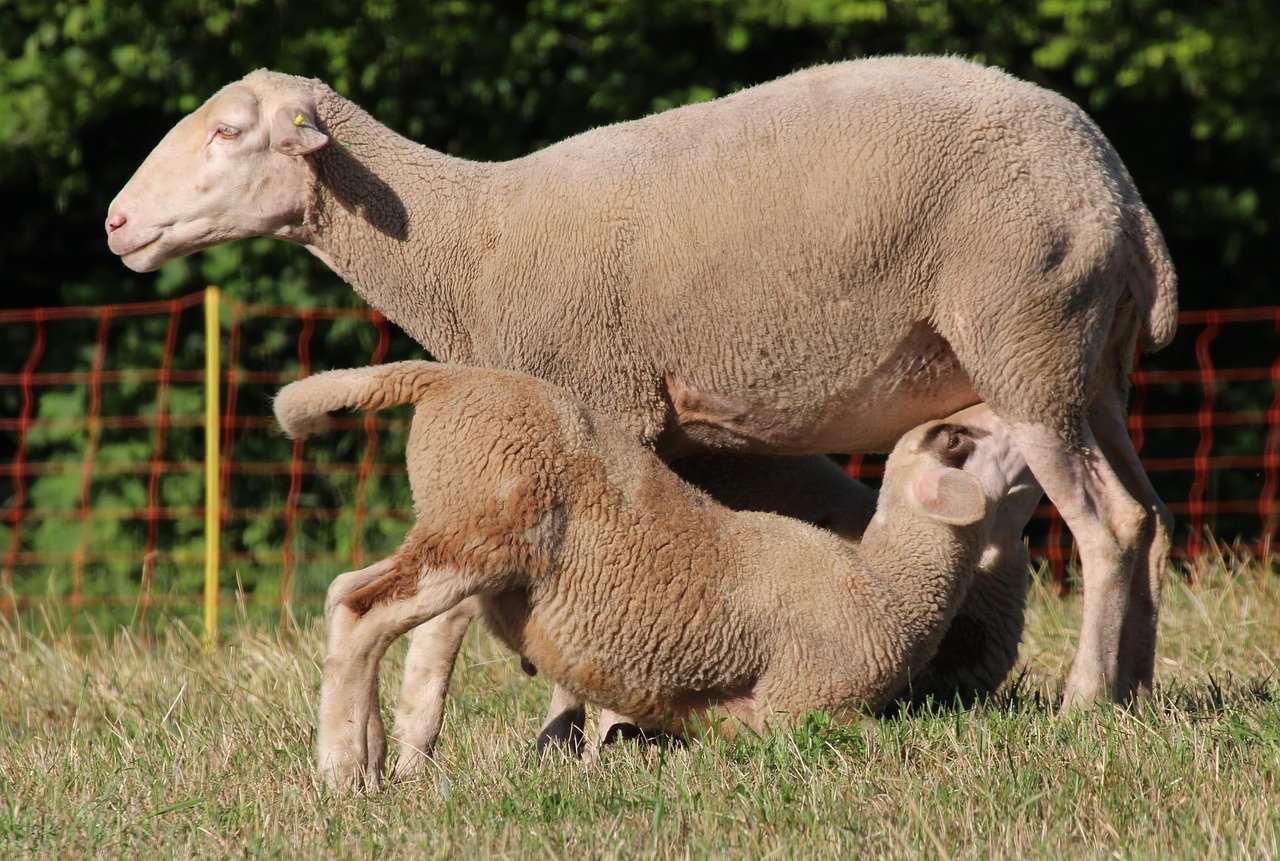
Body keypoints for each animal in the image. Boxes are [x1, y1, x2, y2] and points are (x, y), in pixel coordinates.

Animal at [108, 55, 1177, 710]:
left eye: (229, 132)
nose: (117, 224)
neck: (468, 244)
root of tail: (1122, 194)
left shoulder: (606, 400)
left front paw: (578, 723)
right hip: (1093, 370)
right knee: (1152, 519)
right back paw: (1137, 690)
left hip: (1027, 343)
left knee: (1108, 527)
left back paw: (1086, 700)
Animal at [273, 361, 1032, 791]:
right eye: (958, 439)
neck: (887, 587)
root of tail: (447, 379)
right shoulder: (805, 701)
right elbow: (886, 736)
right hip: (482, 524)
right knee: (361, 609)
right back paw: (344, 771)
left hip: (468, 535)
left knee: (376, 611)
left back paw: (392, 762)